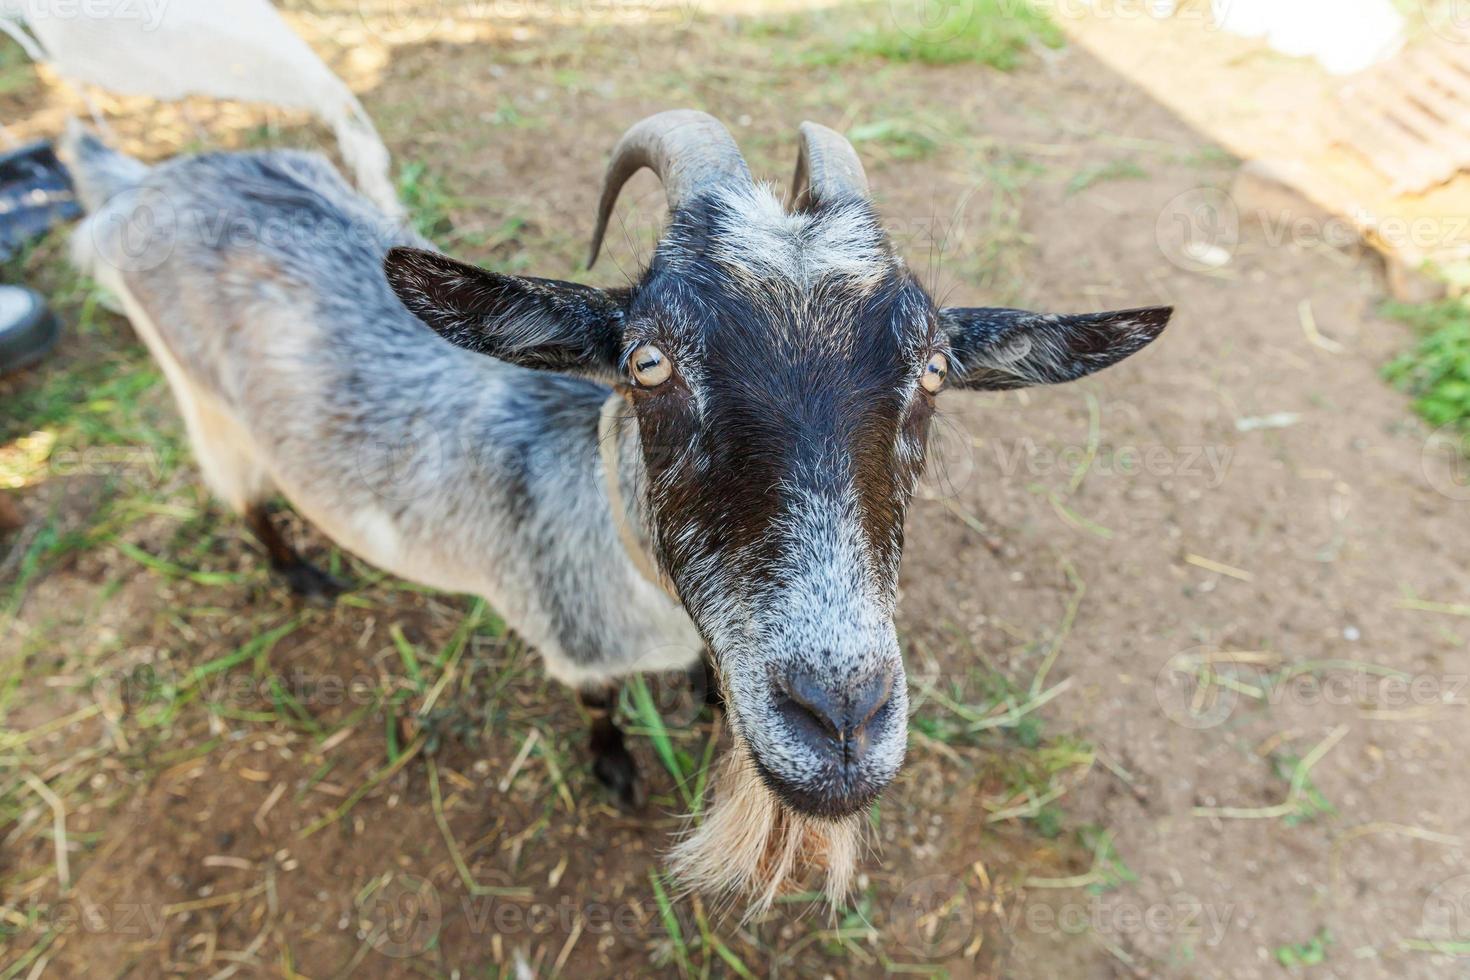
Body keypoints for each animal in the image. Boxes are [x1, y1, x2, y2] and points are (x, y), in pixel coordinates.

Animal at [63, 115, 1170, 910]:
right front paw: (613, 767)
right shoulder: (572, 638)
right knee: (240, 496)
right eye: (646, 361)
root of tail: (135, 184)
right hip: (201, 404)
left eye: (935, 369)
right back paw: (298, 572)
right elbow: (596, 705)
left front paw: (701, 696)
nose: (842, 724)